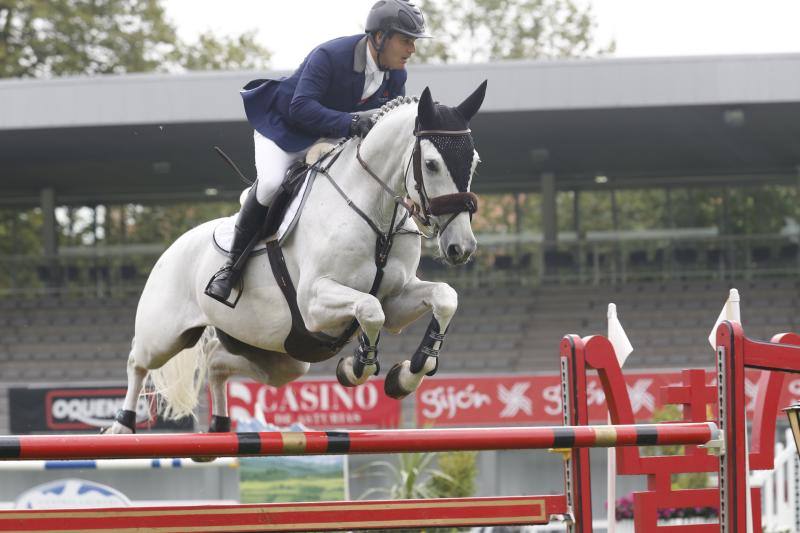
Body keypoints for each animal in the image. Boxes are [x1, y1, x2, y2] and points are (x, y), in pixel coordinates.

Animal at [104, 81, 488, 434]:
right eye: (431, 164)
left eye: (474, 162)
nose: (462, 247)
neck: (378, 217)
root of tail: (171, 248)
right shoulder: (314, 302)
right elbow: (369, 308)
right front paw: (356, 368)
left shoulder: (396, 299)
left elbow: (444, 298)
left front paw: (408, 374)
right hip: (164, 335)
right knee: (138, 361)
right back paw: (122, 425)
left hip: (281, 355)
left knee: (217, 362)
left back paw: (219, 422)